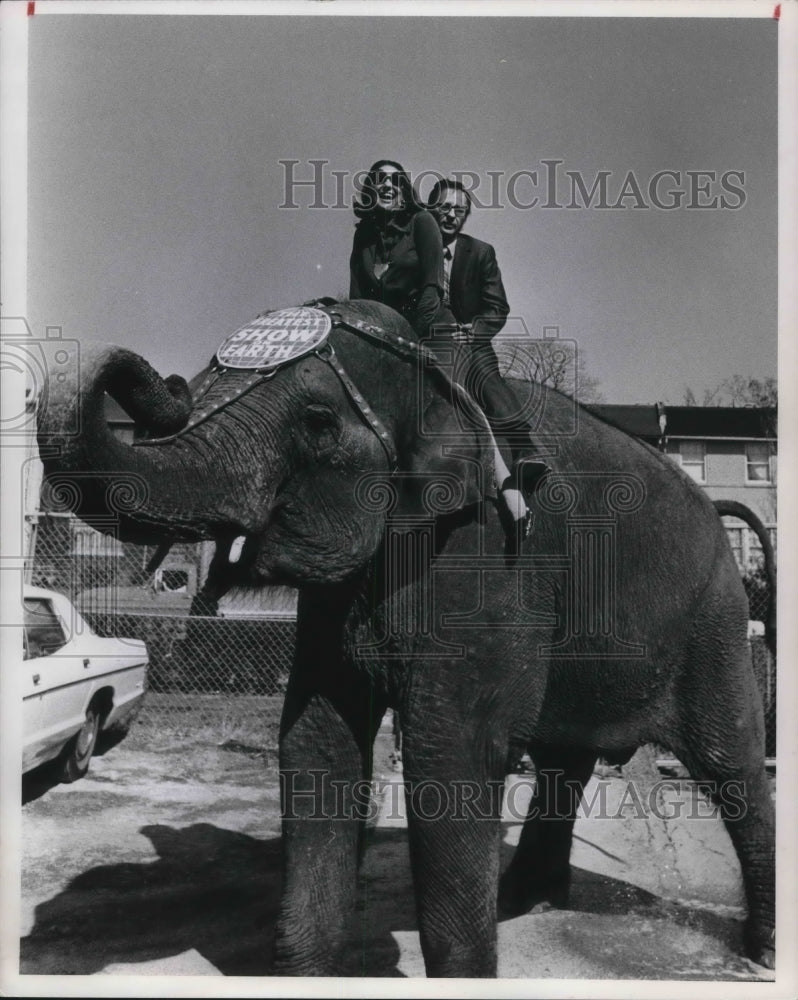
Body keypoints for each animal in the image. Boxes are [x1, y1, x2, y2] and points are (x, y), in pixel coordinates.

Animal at [36, 298, 776, 976]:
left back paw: (760, 952)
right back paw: (525, 899)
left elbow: (450, 754)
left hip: (713, 618)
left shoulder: (488, 553)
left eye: (317, 423)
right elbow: (318, 739)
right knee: (565, 760)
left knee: (731, 763)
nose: (168, 386)